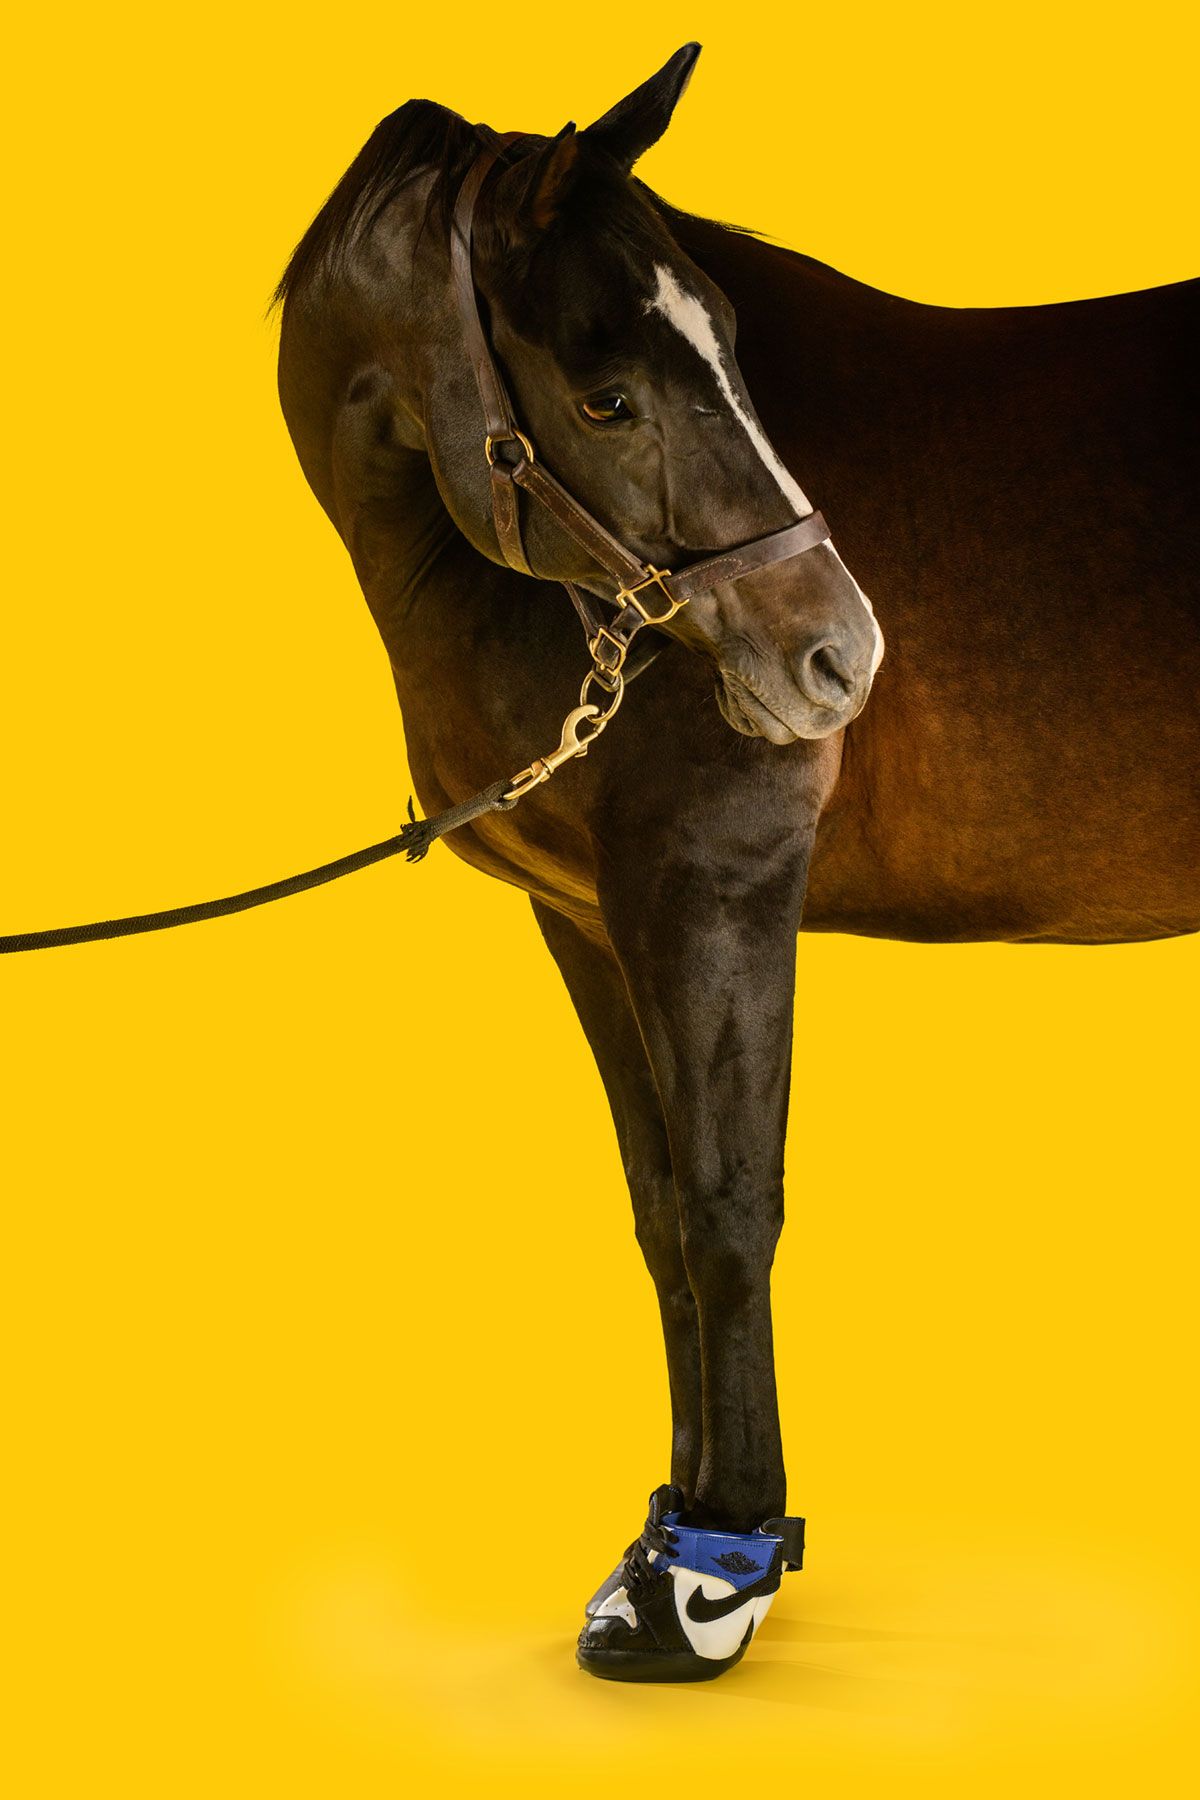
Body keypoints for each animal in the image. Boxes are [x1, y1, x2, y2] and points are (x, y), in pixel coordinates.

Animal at [273, 43, 1199, 1681]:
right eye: (609, 395)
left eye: (736, 357)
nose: (841, 656)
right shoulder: (591, 921)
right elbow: (659, 1213)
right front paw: (671, 1531)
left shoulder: (716, 886)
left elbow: (727, 1209)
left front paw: (711, 1578)